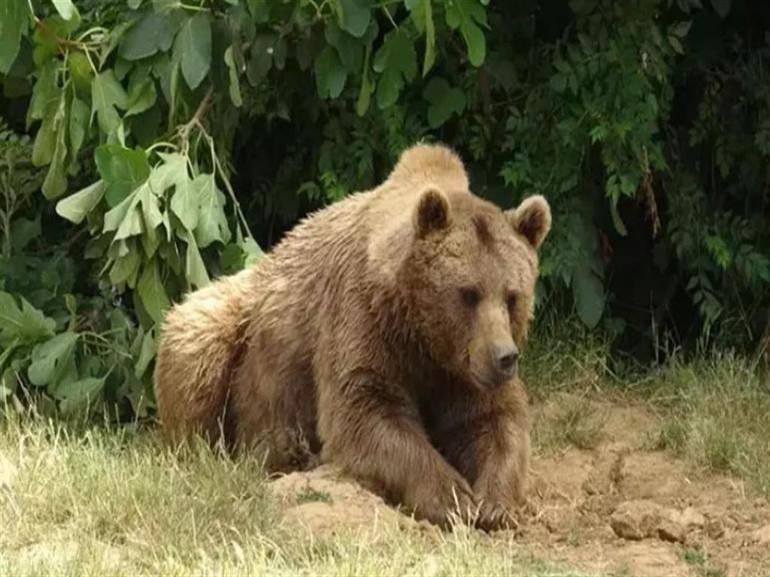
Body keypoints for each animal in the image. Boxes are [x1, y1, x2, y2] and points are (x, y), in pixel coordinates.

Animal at [153, 143, 548, 532]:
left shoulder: (461, 371)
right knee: (196, 345)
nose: (504, 357)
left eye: (512, 295)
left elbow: (495, 419)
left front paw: (495, 504)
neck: (423, 336)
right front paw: (453, 498)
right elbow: (364, 414)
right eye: (468, 293)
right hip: (235, 318)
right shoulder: (362, 319)